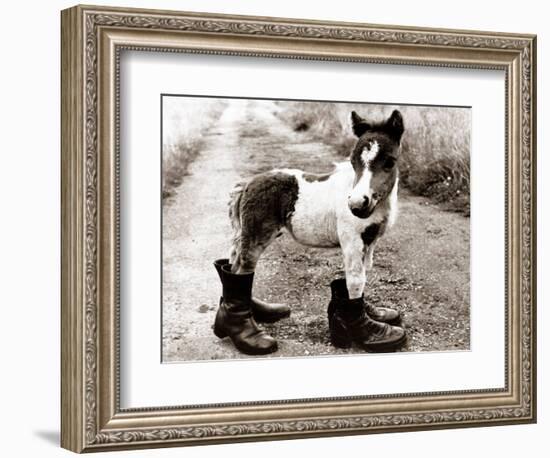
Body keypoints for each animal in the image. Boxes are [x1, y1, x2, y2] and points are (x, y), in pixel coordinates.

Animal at [213, 110, 408, 354]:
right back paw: (246, 334)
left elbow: (360, 276)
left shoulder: (369, 242)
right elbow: (356, 280)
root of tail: (248, 183)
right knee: (241, 269)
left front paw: (377, 313)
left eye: (389, 162)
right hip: (256, 236)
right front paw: (367, 332)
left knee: (232, 265)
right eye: (353, 161)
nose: (356, 205)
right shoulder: (352, 241)